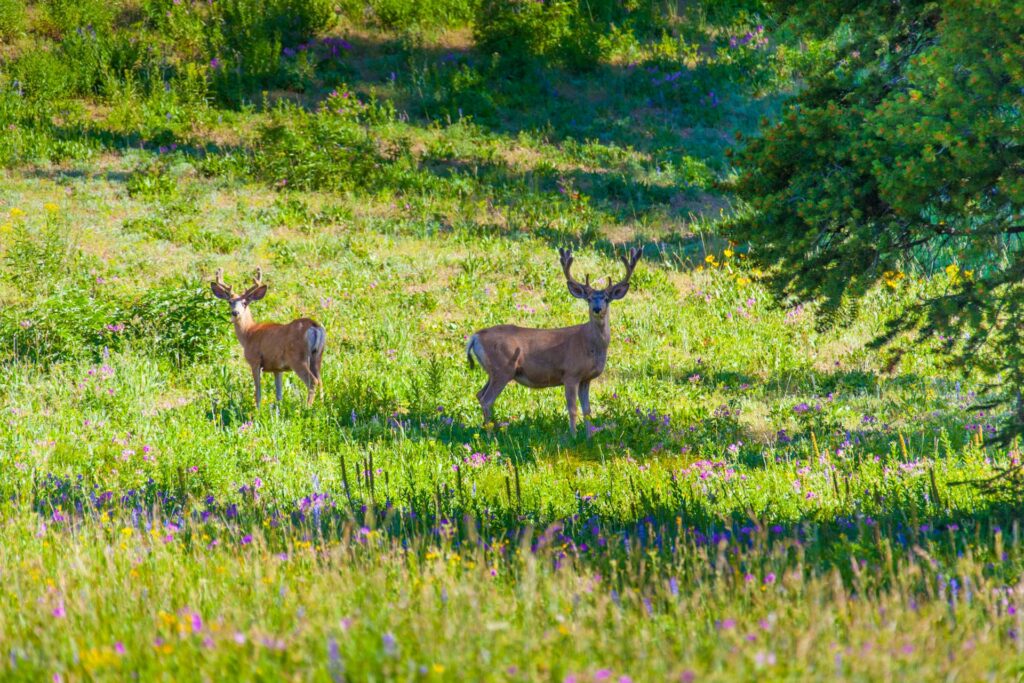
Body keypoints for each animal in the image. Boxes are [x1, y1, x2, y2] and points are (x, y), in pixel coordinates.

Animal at [210, 267, 326, 408]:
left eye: (245, 303)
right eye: (230, 302)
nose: (235, 312)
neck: (249, 333)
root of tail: (314, 326)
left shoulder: (255, 361)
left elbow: (258, 392)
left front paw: (258, 410)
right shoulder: (277, 368)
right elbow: (279, 395)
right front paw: (278, 410)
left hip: (298, 358)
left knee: (313, 381)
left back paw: (307, 408)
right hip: (317, 356)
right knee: (320, 380)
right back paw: (321, 406)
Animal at [466, 247, 642, 436]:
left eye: (607, 298)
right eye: (588, 298)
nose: (597, 309)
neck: (590, 344)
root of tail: (475, 337)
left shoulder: (586, 378)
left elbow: (587, 410)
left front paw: (589, 436)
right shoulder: (570, 373)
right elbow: (572, 409)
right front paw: (573, 436)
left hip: (493, 371)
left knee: (479, 394)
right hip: (503, 369)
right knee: (487, 400)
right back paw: (491, 436)